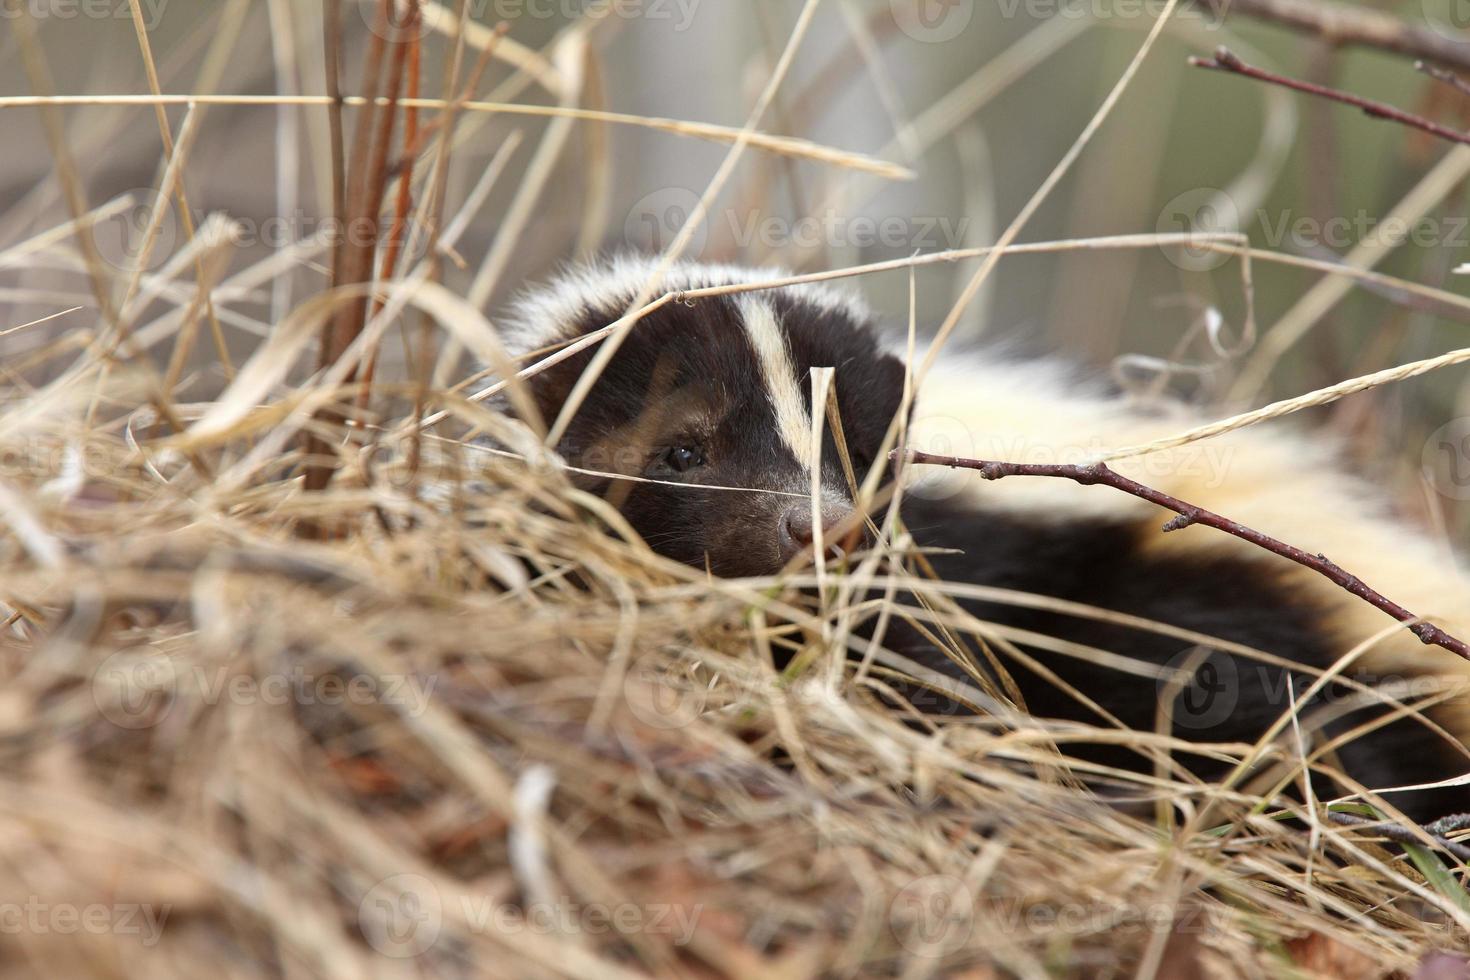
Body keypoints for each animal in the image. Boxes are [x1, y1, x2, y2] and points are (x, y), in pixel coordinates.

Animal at [493, 255, 1470, 822]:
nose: (816, 528)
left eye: (859, 455)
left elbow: (936, 690)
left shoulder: (937, 583)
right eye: (684, 450)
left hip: (1215, 616)